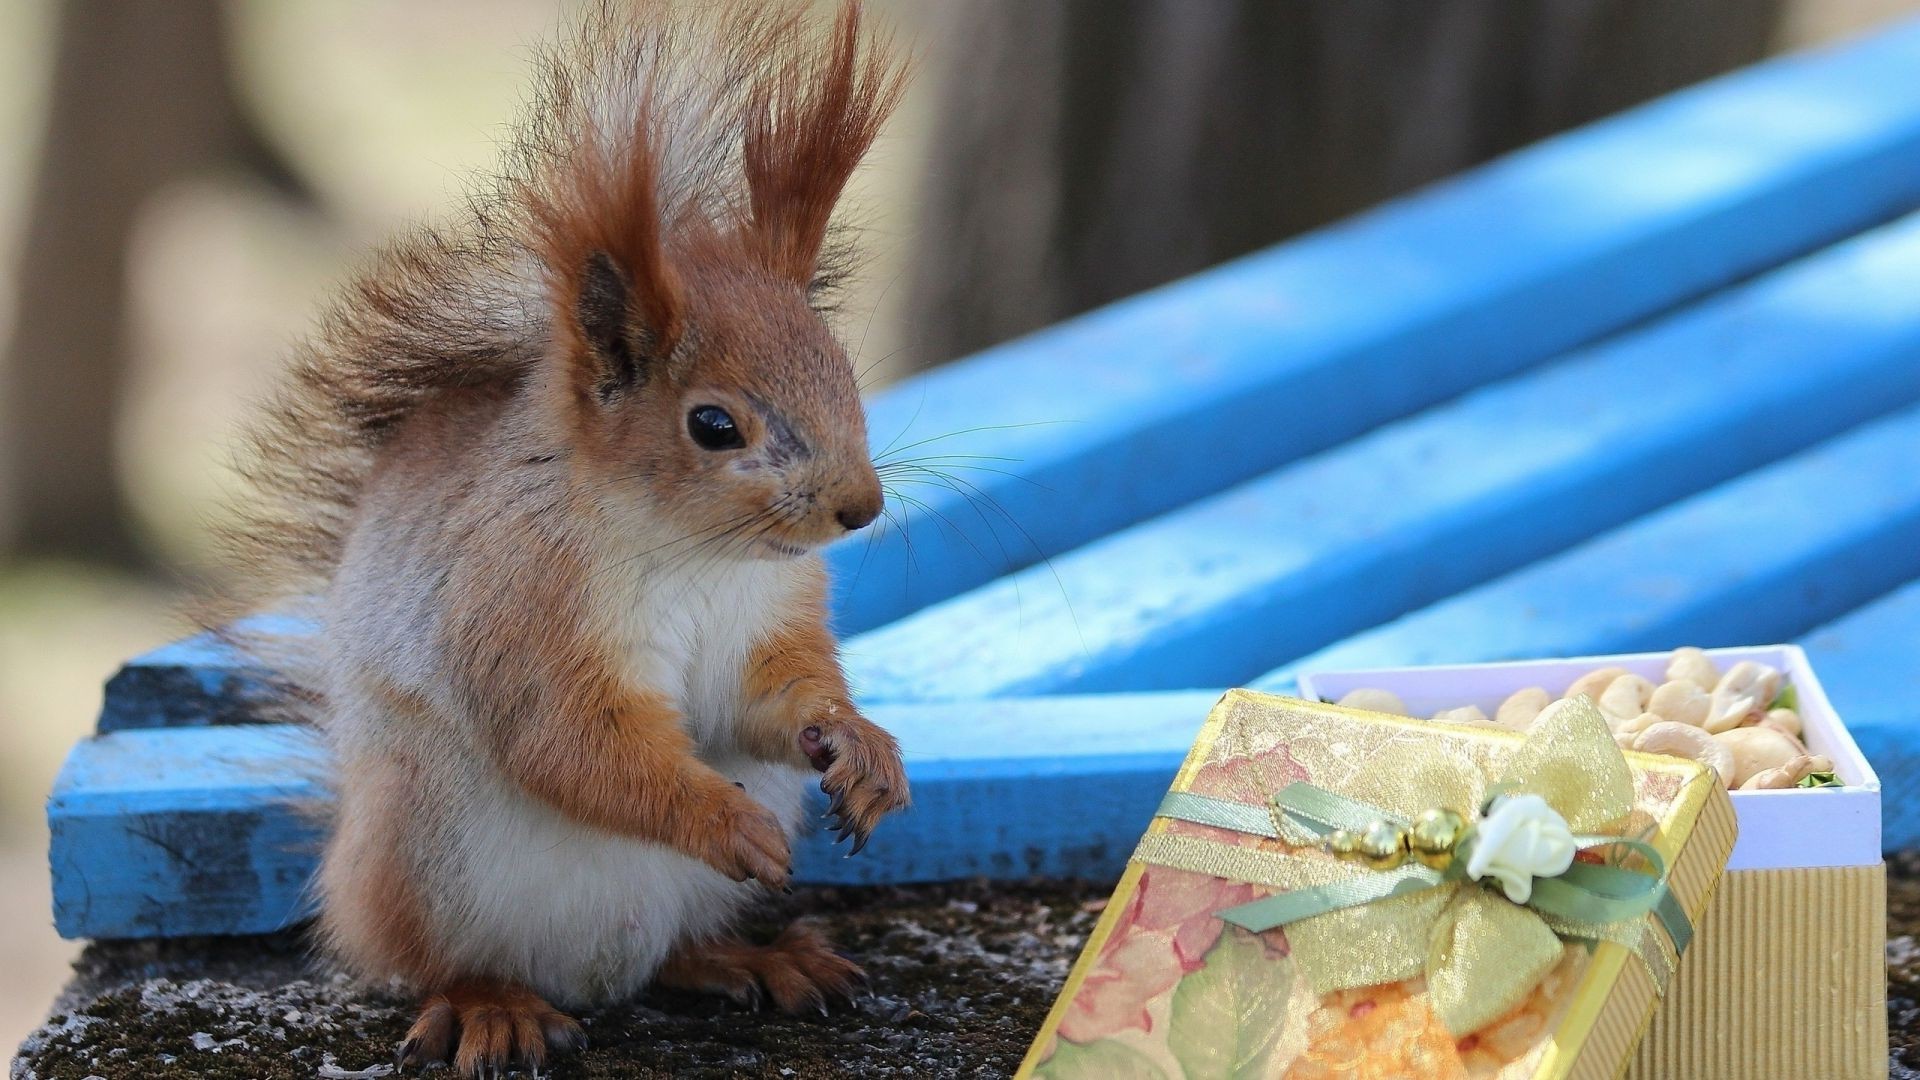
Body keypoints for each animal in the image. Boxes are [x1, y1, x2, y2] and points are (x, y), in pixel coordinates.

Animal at [206, 4, 910, 1068]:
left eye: (841, 369)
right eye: (713, 426)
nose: (859, 508)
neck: (696, 556)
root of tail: (590, 977)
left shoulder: (769, 619)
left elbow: (769, 701)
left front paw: (860, 746)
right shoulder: (521, 604)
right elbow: (572, 742)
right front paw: (721, 818)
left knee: (671, 955)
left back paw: (753, 959)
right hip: (420, 846)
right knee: (433, 959)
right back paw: (492, 1006)